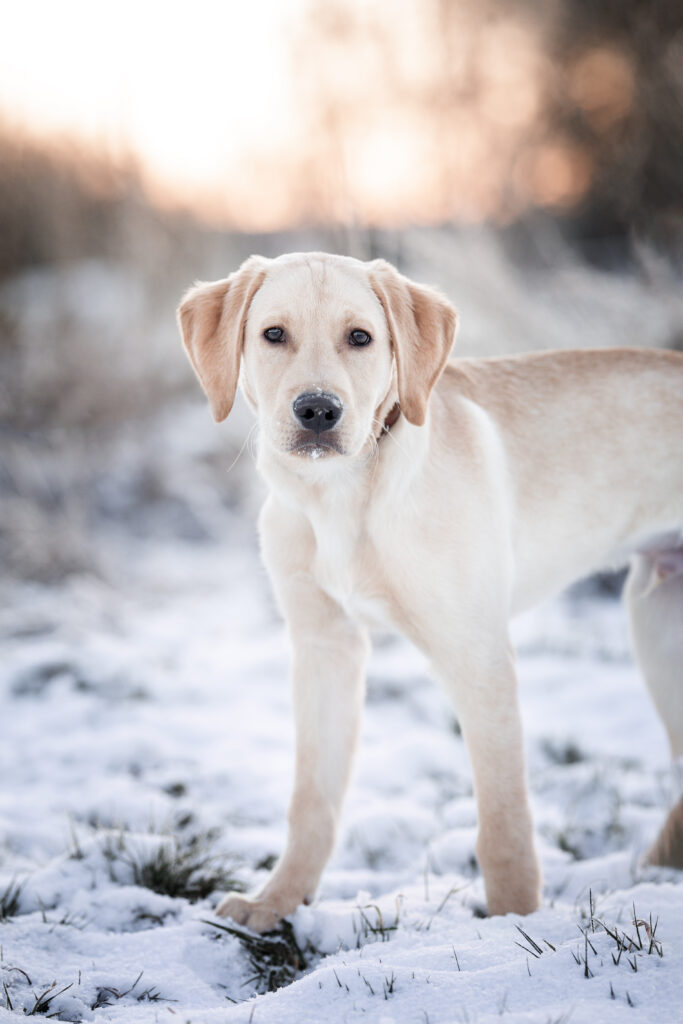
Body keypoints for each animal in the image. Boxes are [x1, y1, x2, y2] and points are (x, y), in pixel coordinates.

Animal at [178, 251, 683, 933]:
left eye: (360, 338)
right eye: (273, 335)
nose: (318, 411)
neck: (340, 496)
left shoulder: (479, 656)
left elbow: (503, 821)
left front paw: (511, 926)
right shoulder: (324, 648)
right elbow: (313, 799)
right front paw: (275, 902)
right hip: (657, 622)